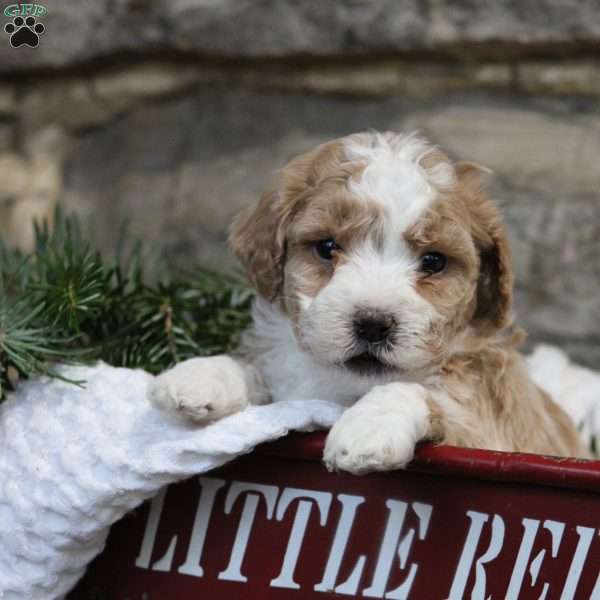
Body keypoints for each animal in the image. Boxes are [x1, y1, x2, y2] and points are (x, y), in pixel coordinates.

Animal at [148, 131, 584, 474]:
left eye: (434, 261)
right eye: (327, 247)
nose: (373, 323)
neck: (348, 387)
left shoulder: (487, 425)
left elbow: (422, 393)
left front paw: (367, 429)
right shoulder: (293, 389)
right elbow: (259, 369)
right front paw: (201, 376)